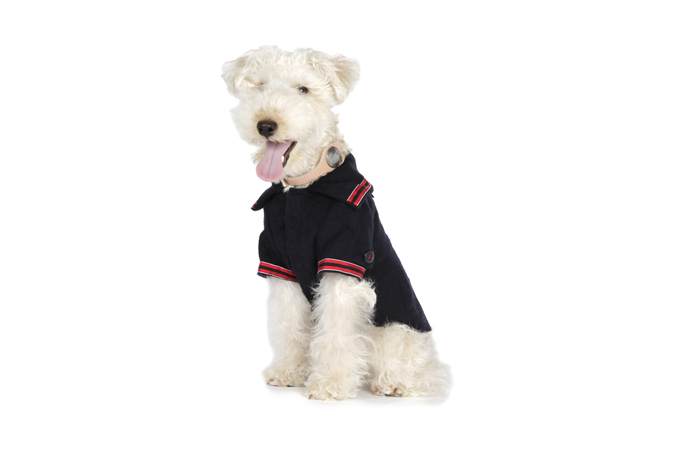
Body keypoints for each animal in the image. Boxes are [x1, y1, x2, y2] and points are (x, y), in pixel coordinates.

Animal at [222, 46, 451, 400]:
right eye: (260, 86)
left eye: (303, 89)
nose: (266, 125)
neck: (303, 188)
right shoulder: (280, 266)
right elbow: (289, 325)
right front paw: (288, 372)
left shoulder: (343, 261)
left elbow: (336, 332)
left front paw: (330, 384)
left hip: (396, 331)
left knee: (422, 372)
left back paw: (394, 384)